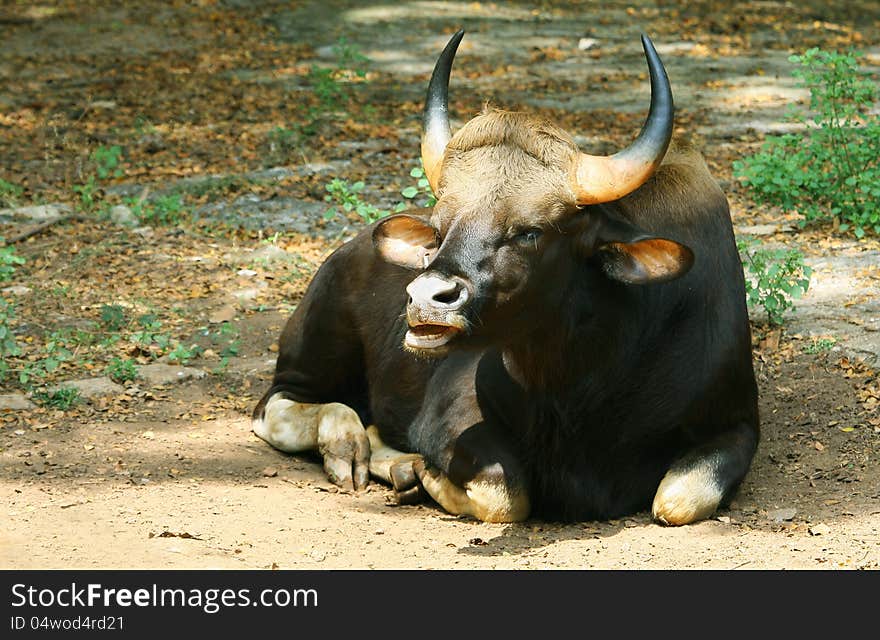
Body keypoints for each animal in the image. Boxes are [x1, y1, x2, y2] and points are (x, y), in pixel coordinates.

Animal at [253, 31, 756, 524]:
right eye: (440, 228)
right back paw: (349, 444)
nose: (426, 297)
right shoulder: (448, 415)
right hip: (315, 347)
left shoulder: (737, 424)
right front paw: (418, 469)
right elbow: (506, 493)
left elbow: (678, 499)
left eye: (531, 231)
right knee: (278, 405)